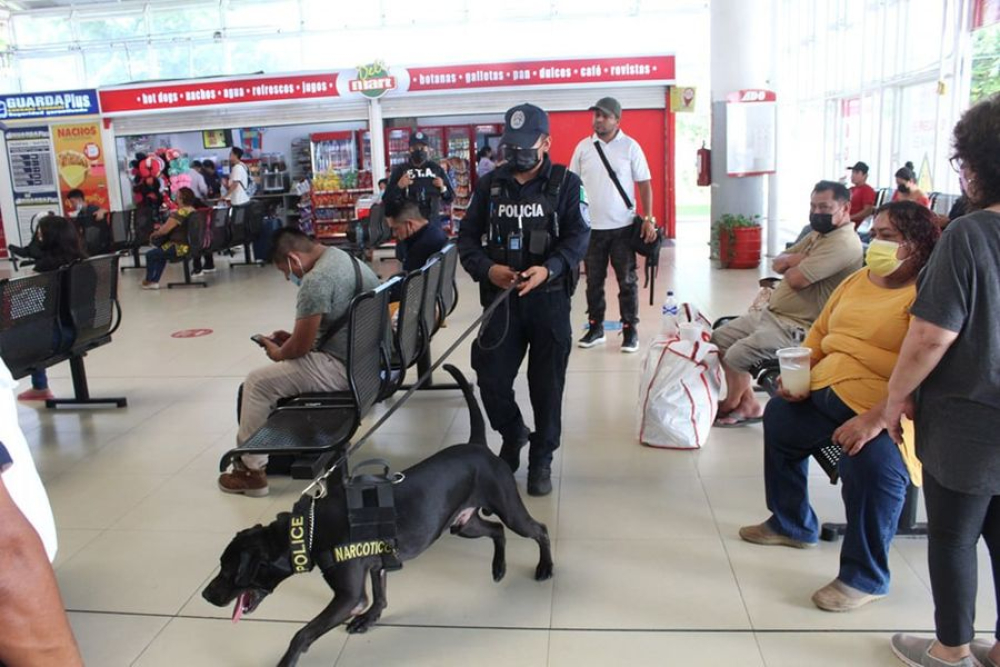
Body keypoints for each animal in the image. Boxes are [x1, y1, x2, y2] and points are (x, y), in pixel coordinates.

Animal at [199, 366, 552, 667]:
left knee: (539, 529)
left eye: (230, 571)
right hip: (463, 523)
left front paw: (287, 661)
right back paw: (498, 567)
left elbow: (303, 633)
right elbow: (379, 597)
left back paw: (545, 567)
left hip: (508, 510)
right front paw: (371, 618)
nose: (205, 595)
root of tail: (477, 446)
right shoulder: (377, 564)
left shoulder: (347, 597)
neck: (307, 529)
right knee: (496, 531)